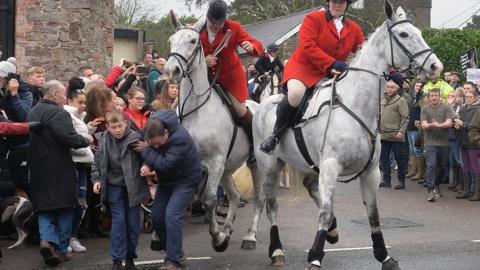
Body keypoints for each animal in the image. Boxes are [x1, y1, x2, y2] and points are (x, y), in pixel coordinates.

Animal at [165, 11, 262, 253]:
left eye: (193, 41)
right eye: (171, 41)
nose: (171, 70)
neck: (195, 111)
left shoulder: (215, 162)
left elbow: (209, 199)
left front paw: (217, 237)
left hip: (254, 165)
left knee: (259, 199)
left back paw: (250, 236)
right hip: (228, 168)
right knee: (235, 197)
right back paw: (228, 228)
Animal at [251, 1, 442, 268]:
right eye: (404, 35)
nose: (436, 67)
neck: (357, 104)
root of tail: (262, 104)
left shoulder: (371, 172)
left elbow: (373, 215)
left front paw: (384, 256)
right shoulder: (331, 167)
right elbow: (324, 212)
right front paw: (315, 256)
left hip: (309, 164)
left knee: (311, 187)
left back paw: (332, 230)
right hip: (270, 165)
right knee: (271, 205)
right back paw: (276, 250)